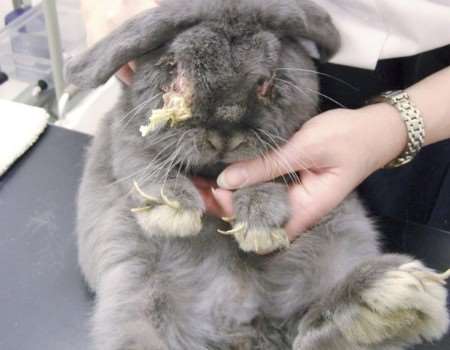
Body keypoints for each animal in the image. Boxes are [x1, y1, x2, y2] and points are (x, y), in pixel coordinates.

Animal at [65, 0, 448, 350]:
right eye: (176, 72)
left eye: (265, 82)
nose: (224, 130)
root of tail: (248, 326)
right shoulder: (126, 138)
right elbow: (144, 166)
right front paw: (175, 211)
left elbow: (266, 177)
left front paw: (259, 226)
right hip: (137, 296)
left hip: (335, 241)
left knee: (310, 324)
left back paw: (386, 300)